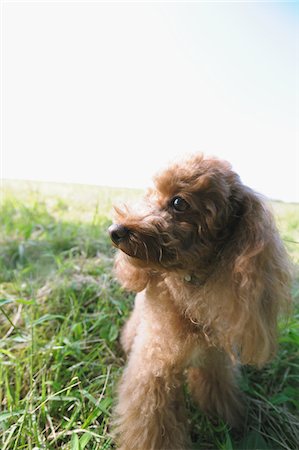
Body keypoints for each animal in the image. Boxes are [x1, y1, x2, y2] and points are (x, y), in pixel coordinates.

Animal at [108, 154, 292, 450]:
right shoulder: (153, 366)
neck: (188, 287)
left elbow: (218, 392)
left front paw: (230, 423)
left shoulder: (214, 361)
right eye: (150, 196)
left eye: (178, 203)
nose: (115, 231)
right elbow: (153, 422)